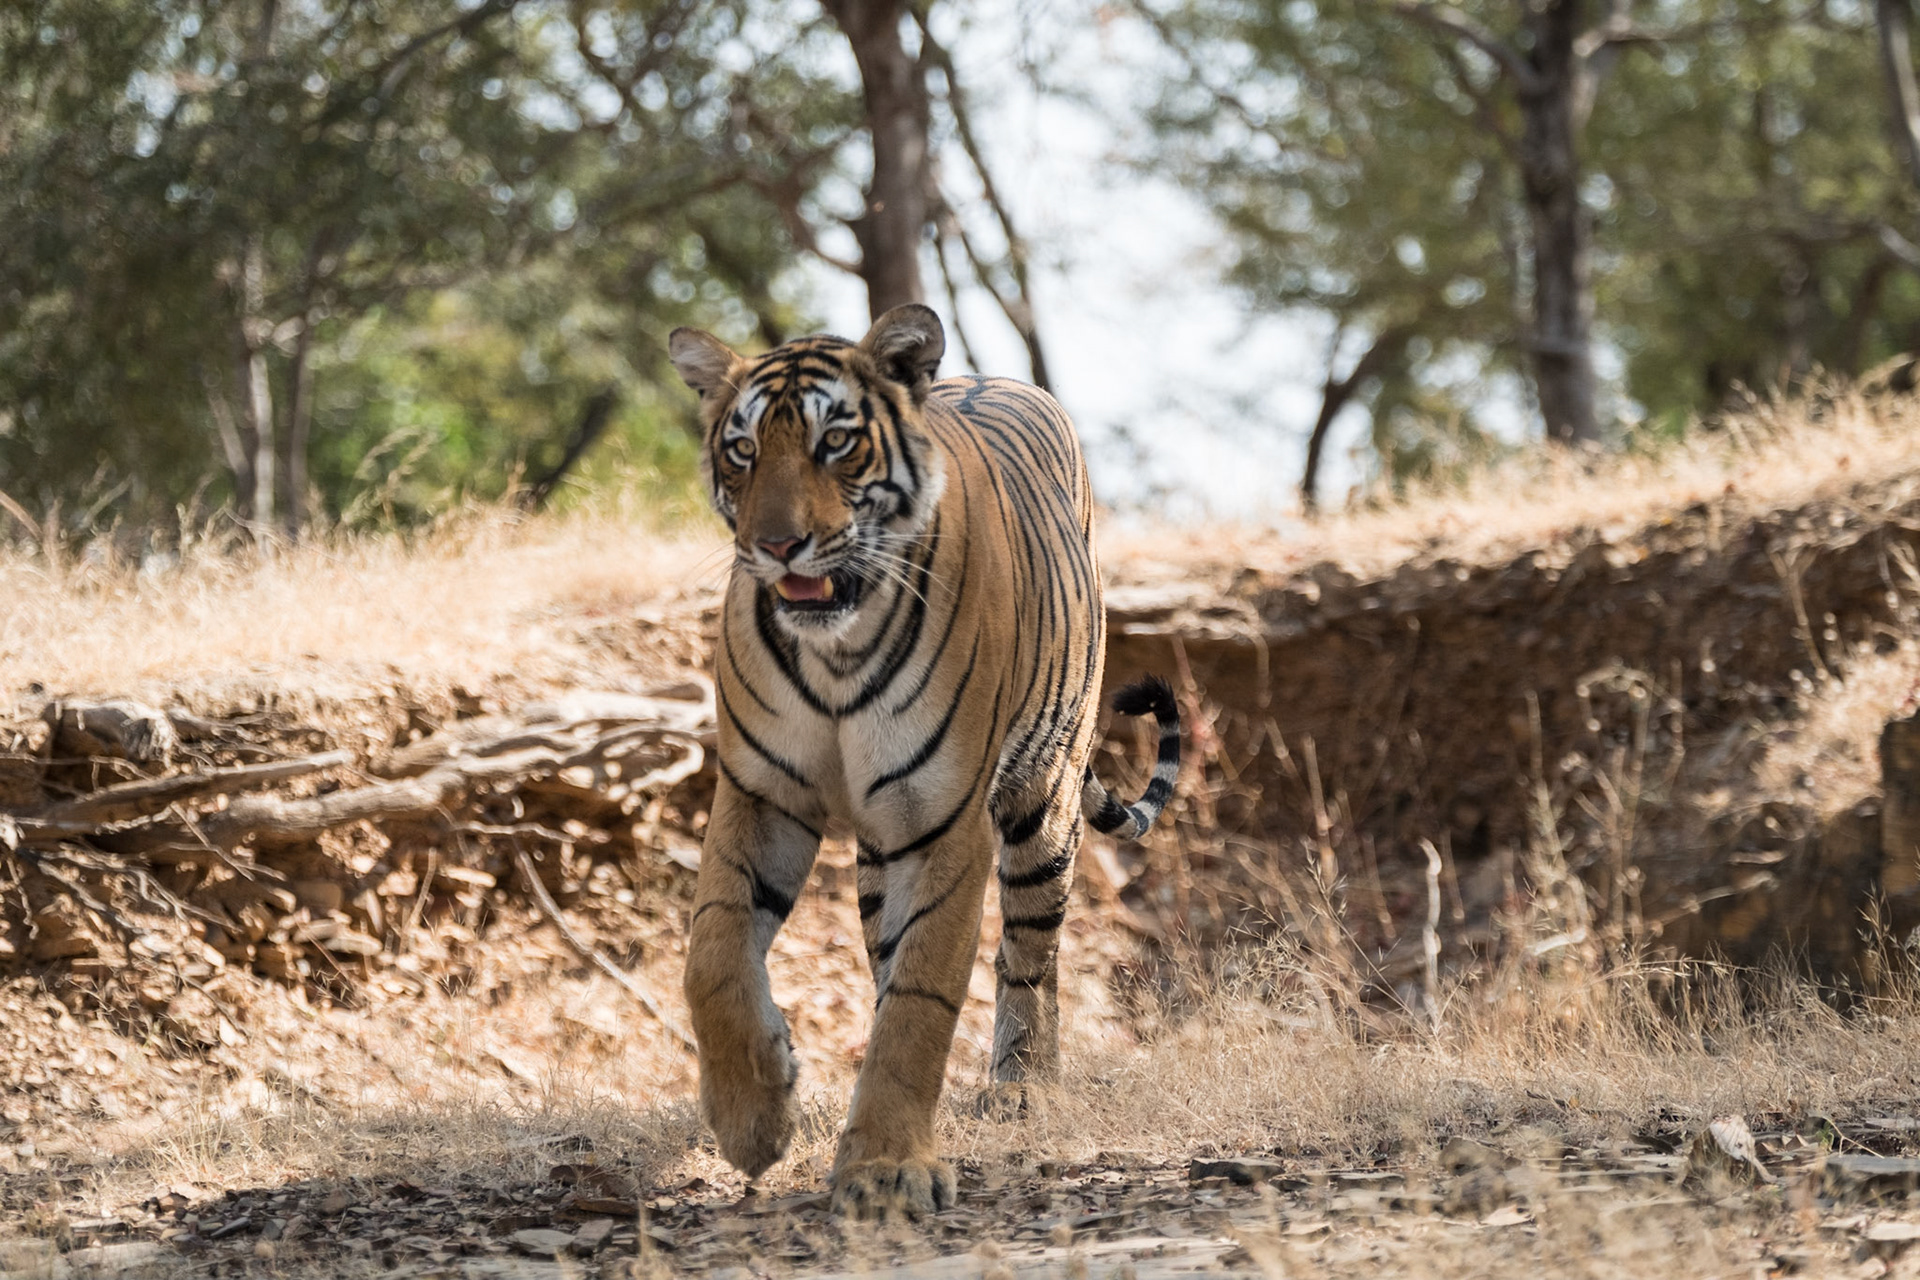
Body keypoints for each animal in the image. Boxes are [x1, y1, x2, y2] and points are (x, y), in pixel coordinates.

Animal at [667, 303, 1181, 1221]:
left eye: (836, 442)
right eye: (743, 449)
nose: (778, 545)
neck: (835, 649)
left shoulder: (944, 822)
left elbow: (923, 999)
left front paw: (885, 1168)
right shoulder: (760, 795)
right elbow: (714, 955)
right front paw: (754, 1118)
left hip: (1043, 802)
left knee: (1031, 956)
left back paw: (1025, 1088)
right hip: (881, 851)